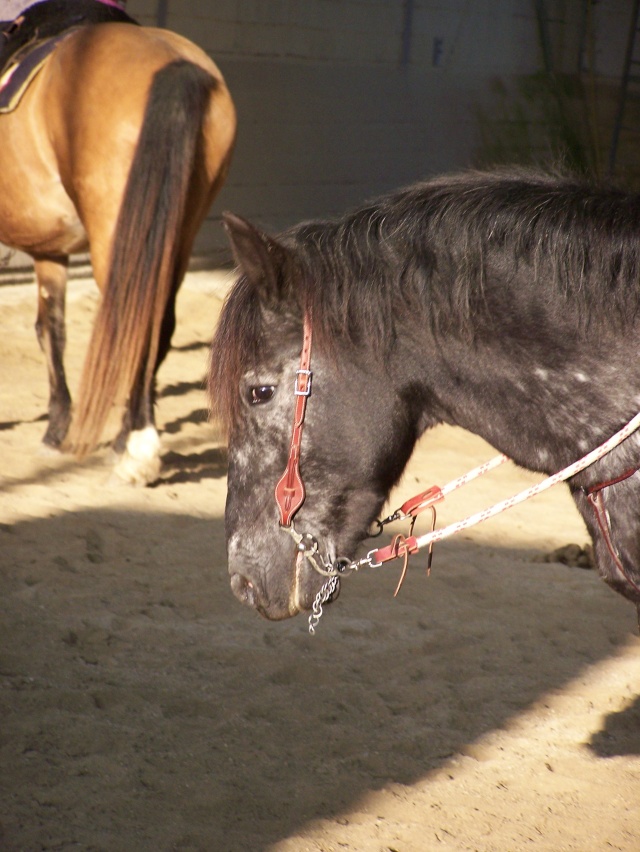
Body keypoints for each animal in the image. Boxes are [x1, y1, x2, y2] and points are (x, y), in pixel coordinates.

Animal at [0, 20, 236, 482]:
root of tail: (172, 60)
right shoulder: (50, 251)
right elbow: (51, 328)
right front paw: (57, 428)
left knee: (136, 324)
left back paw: (137, 448)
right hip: (176, 236)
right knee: (158, 324)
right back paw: (128, 437)